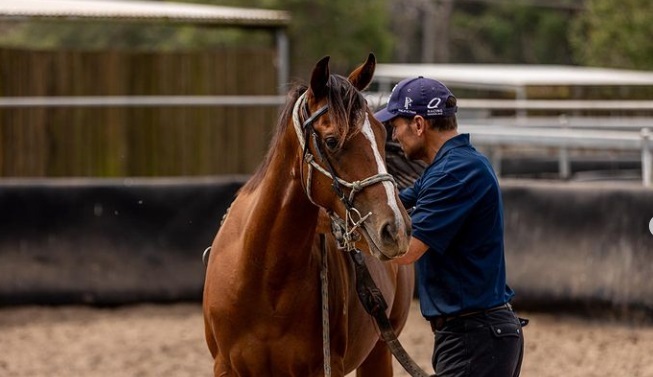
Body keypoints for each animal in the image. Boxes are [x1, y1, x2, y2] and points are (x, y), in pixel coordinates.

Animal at [204, 53, 416, 376]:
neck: (264, 276)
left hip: (379, 352)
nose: (396, 229)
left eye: (381, 135)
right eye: (332, 141)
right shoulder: (226, 367)